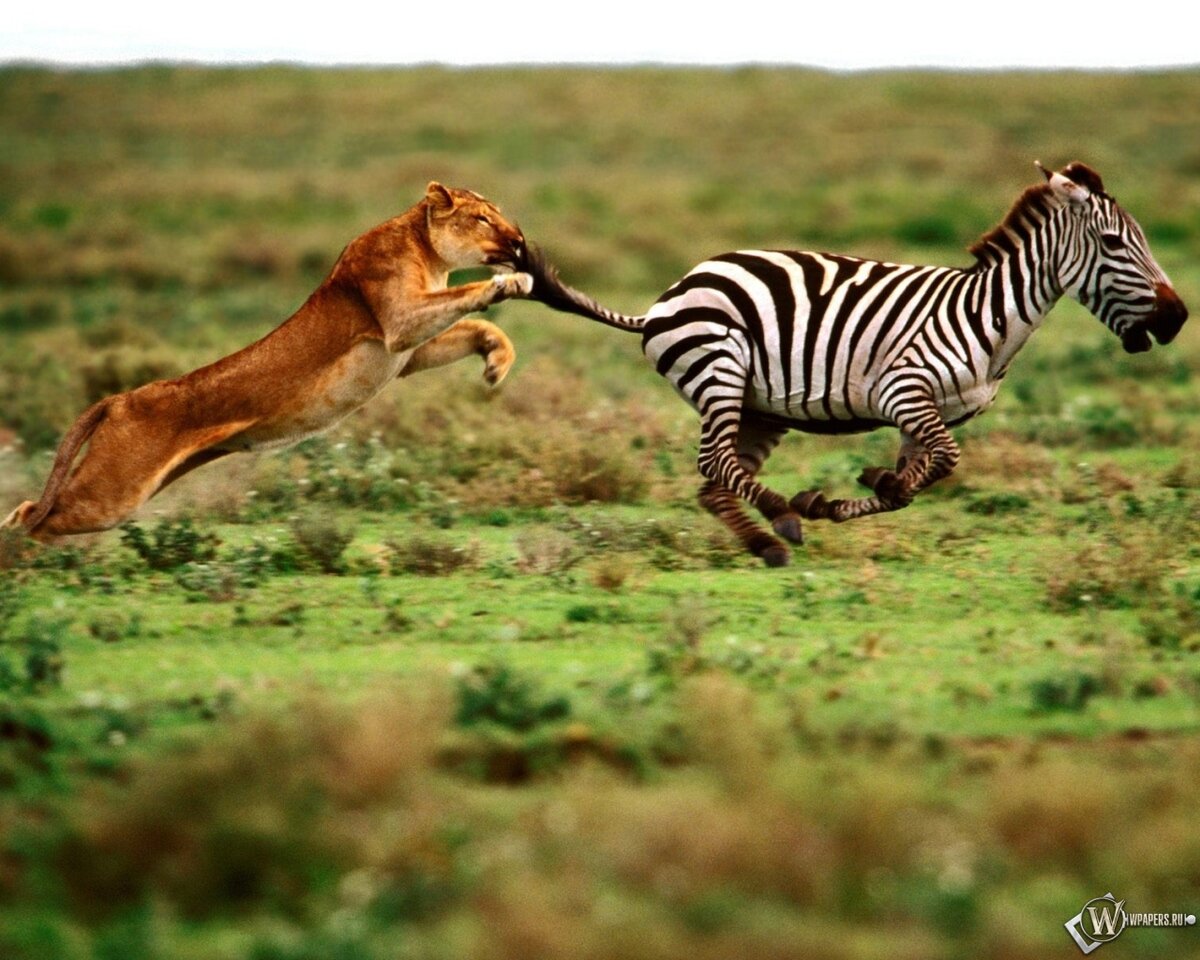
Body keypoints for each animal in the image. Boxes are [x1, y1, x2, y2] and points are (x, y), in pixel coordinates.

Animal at [522, 161, 1188, 566]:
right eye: (1115, 244)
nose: (1177, 318)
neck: (988, 316)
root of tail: (669, 295)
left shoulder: (930, 414)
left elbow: (917, 481)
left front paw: (858, 491)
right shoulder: (904, 390)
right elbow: (945, 462)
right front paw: (839, 496)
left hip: (759, 406)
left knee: (714, 480)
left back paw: (766, 543)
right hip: (719, 369)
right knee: (714, 463)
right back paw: (781, 516)